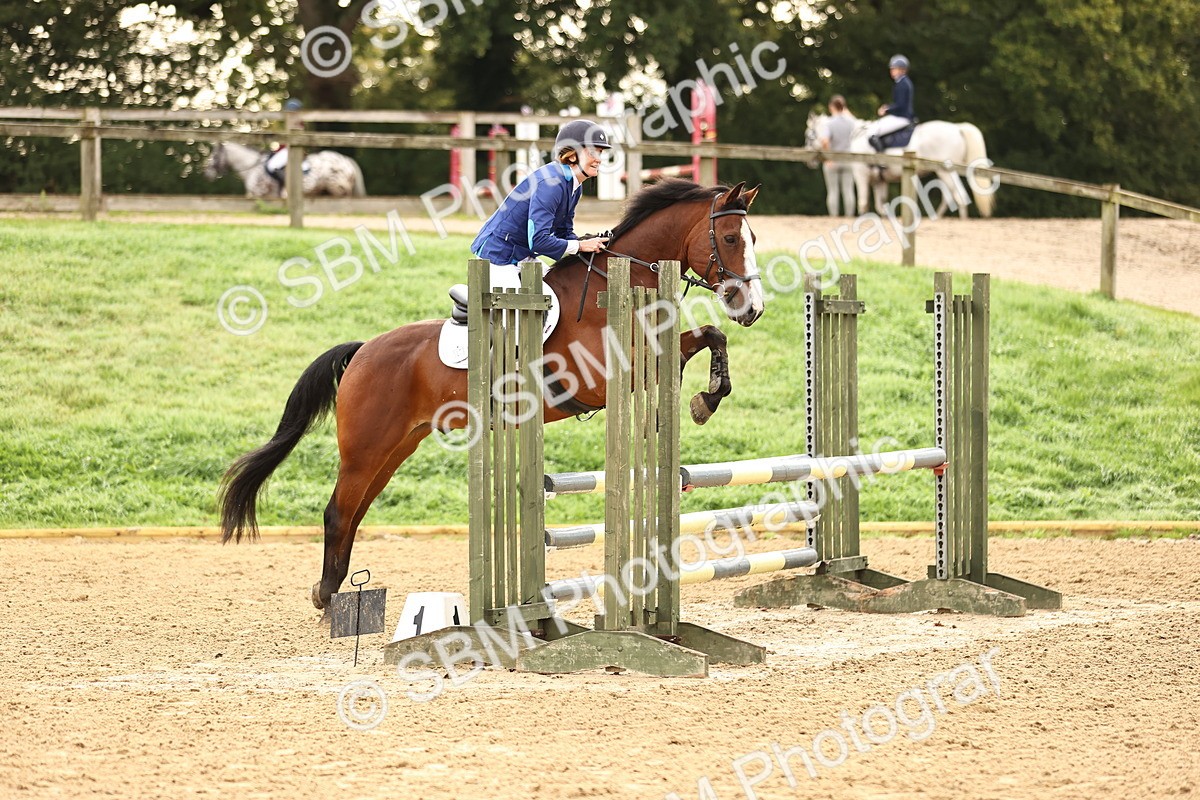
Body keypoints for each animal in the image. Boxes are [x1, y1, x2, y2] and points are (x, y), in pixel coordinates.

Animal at [203, 141, 367, 199]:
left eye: (214, 155)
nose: (207, 174)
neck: (252, 168)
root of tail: (346, 160)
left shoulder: (260, 194)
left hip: (339, 190)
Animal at [219, 179, 764, 611]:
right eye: (730, 238)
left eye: (753, 238)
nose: (752, 308)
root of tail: (362, 351)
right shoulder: (605, 376)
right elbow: (696, 341)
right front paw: (705, 400)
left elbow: (710, 335)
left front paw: (705, 399)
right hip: (366, 448)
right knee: (338, 512)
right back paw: (328, 598)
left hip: (397, 448)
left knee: (355, 511)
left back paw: (333, 591)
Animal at [805, 113, 995, 219]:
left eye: (808, 135)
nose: (809, 160)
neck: (856, 136)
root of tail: (957, 128)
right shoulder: (880, 181)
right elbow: (881, 205)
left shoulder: (861, 175)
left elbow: (863, 202)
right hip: (944, 171)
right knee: (951, 196)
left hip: (945, 170)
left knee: (959, 196)